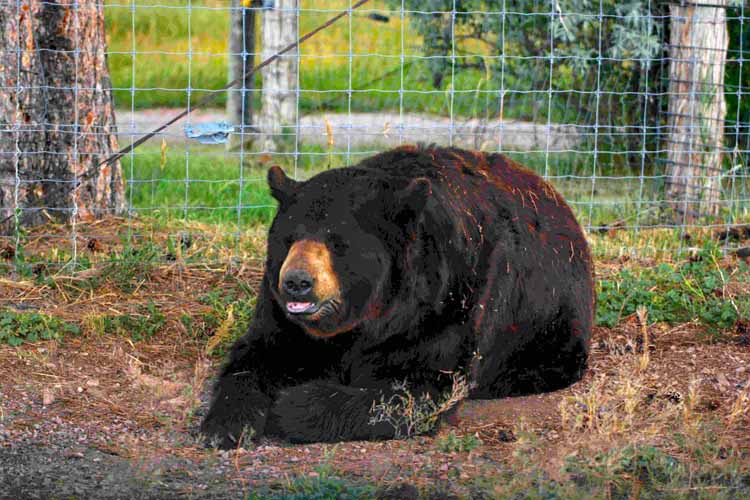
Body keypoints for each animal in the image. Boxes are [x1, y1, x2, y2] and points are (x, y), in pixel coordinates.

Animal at [200, 144, 594, 447]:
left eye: (337, 242)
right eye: (289, 238)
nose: (297, 282)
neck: (373, 314)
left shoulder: (445, 302)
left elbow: (417, 385)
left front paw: (293, 405)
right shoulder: (283, 316)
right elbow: (257, 353)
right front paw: (225, 424)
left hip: (552, 320)